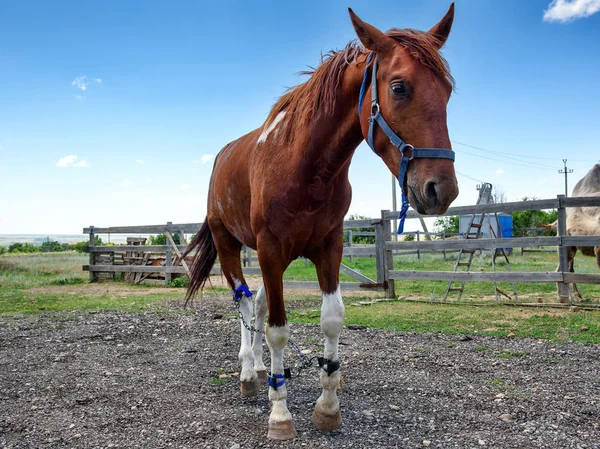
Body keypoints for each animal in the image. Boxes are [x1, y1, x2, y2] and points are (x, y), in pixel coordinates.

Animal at [183, 4, 460, 438]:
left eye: (447, 90)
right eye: (399, 87)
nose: (441, 190)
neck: (306, 167)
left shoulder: (329, 248)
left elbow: (330, 321)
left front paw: (327, 407)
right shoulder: (271, 251)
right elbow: (278, 329)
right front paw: (280, 412)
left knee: (256, 303)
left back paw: (260, 368)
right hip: (230, 246)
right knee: (244, 304)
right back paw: (248, 375)